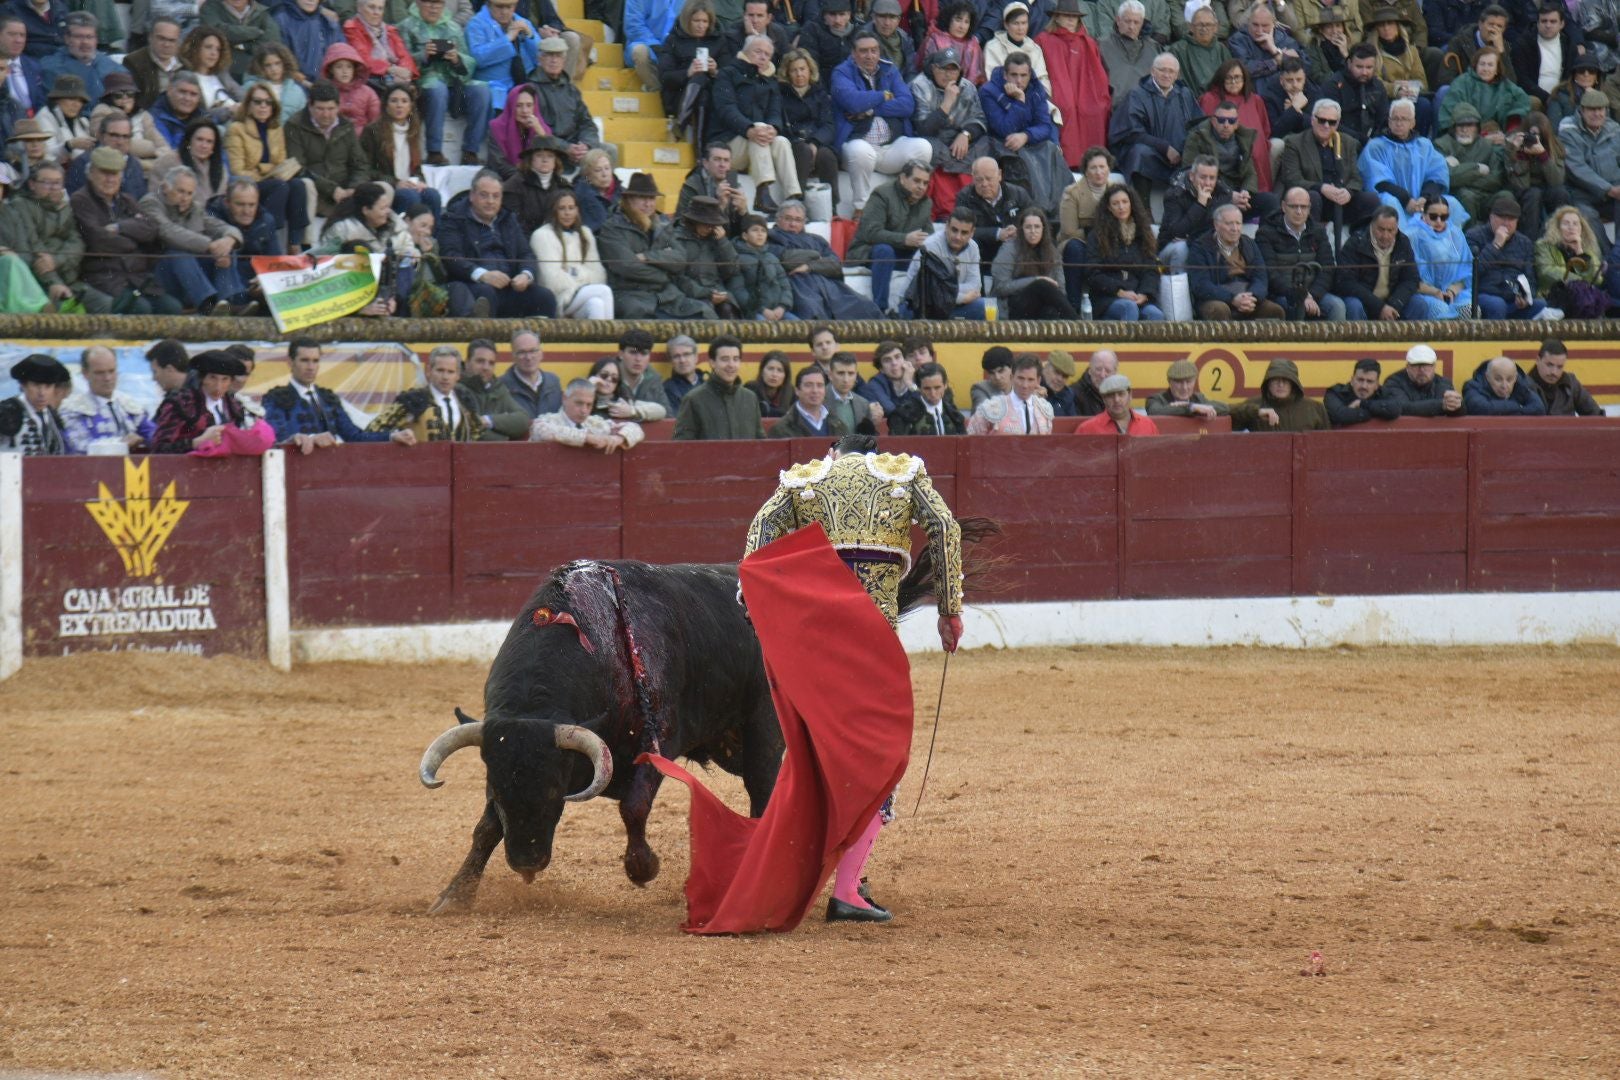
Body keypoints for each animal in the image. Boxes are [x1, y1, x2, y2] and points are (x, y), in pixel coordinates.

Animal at [417, 563, 784, 919]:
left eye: (554, 789)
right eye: (494, 788)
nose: (526, 863)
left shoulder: (660, 740)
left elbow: (634, 806)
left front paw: (643, 868)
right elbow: (486, 828)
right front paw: (455, 895)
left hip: (763, 730)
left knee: (762, 793)